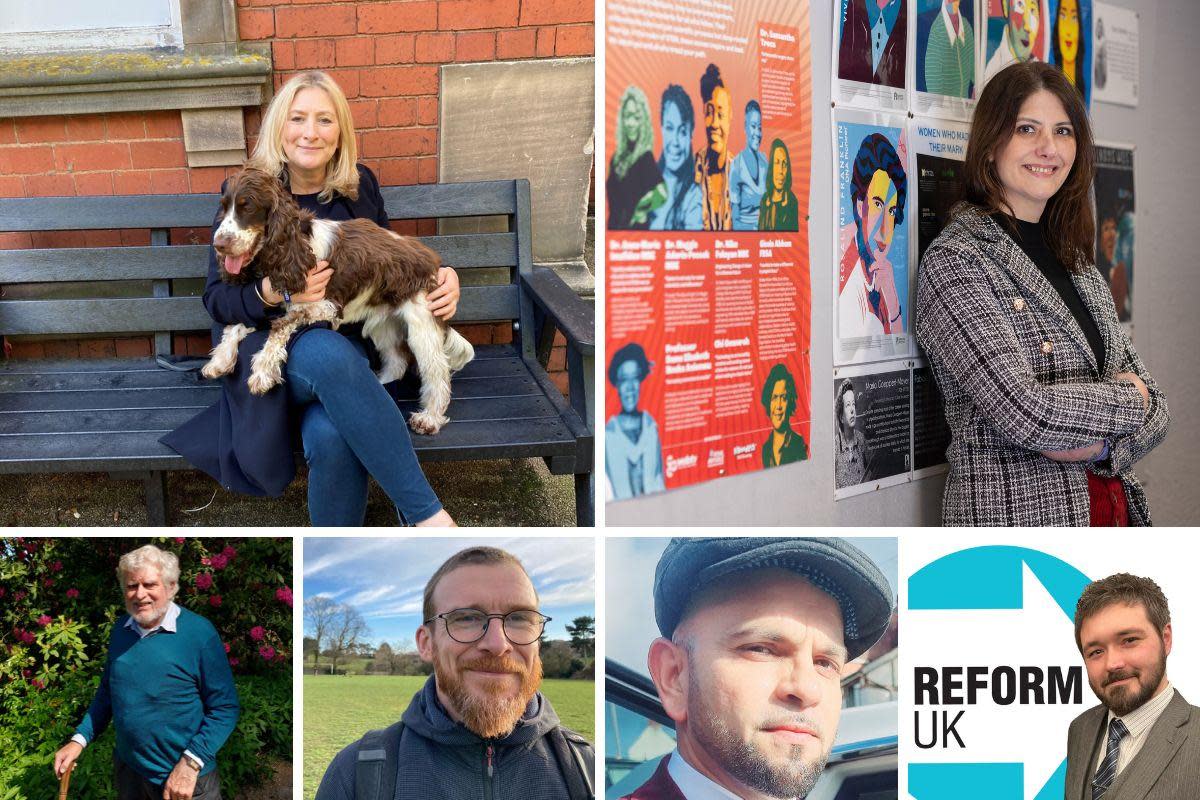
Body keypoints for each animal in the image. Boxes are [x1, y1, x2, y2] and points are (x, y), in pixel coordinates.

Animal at [200, 165, 472, 434]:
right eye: (224, 207)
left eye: (248, 207)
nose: (218, 244)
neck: (294, 246)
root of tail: (431, 262)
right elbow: (238, 322)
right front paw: (220, 358)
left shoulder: (326, 306)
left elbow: (279, 326)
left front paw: (262, 371)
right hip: (382, 323)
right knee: (397, 361)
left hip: (421, 325)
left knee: (437, 373)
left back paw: (430, 418)